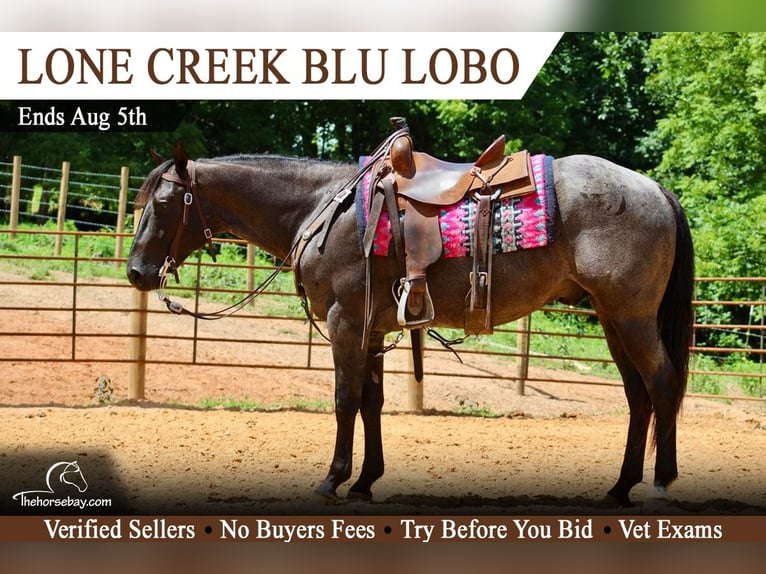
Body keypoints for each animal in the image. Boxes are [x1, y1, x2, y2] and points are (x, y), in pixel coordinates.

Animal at [126, 140, 694, 507]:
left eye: (164, 202)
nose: (136, 271)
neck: (321, 208)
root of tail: (655, 189)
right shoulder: (372, 329)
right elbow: (372, 402)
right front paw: (364, 482)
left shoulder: (346, 323)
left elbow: (345, 400)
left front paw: (333, 480)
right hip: (612, 319)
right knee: (638, 396)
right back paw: (620, 488)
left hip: (632, 317)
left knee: (662, 384)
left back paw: (662, 485)